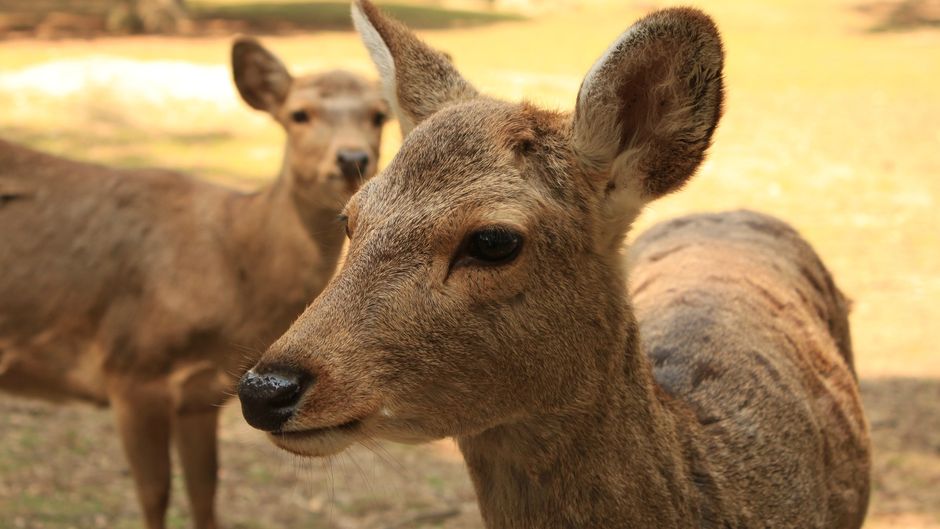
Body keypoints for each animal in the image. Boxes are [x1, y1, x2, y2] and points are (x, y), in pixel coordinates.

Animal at [0, 36, 388, 528]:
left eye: (379, 114)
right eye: (299, 114)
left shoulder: (203, 394)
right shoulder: (131, 368)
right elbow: (154, 493)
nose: (353, 158)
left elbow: (205, 491)